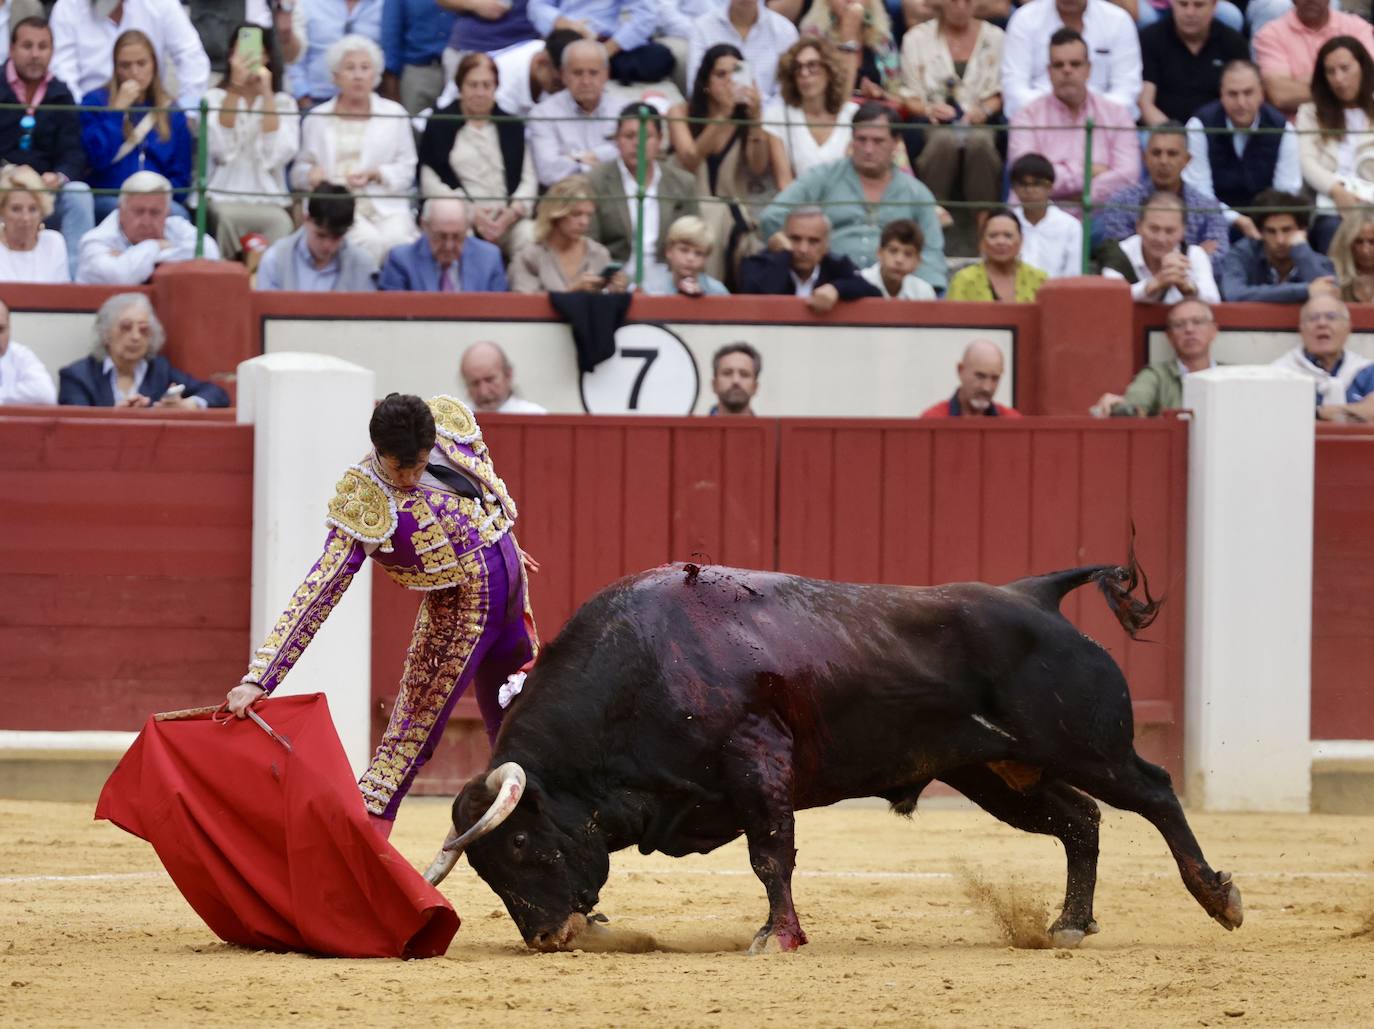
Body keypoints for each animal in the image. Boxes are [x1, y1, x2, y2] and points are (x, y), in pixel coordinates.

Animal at [420, 557, 1247, 950]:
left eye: (519, 843)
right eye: (488, 870)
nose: (546, 936)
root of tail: (1032, 594)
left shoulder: (759, 761)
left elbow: (770, 855)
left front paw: (776, 936)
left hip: (1087, 744)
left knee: (1155, 791)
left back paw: (1217, 895)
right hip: (994, 772)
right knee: (1081, 821)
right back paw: (1071, 923)